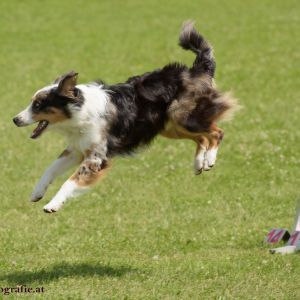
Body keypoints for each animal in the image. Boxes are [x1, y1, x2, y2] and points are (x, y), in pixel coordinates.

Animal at [12, 21, 238, 212]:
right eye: (33, 102)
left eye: (38, 104)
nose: (15, 119)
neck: (80, 113)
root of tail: (196, 70)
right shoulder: (76, 149)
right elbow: (50, 169)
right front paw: (37, 192)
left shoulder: (96, 158)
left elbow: (70, 182)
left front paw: (53, 204)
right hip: (170, 126)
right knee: (202, 137)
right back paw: (199, 163)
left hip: (182, 117)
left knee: (217, 132)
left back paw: (209, 159)